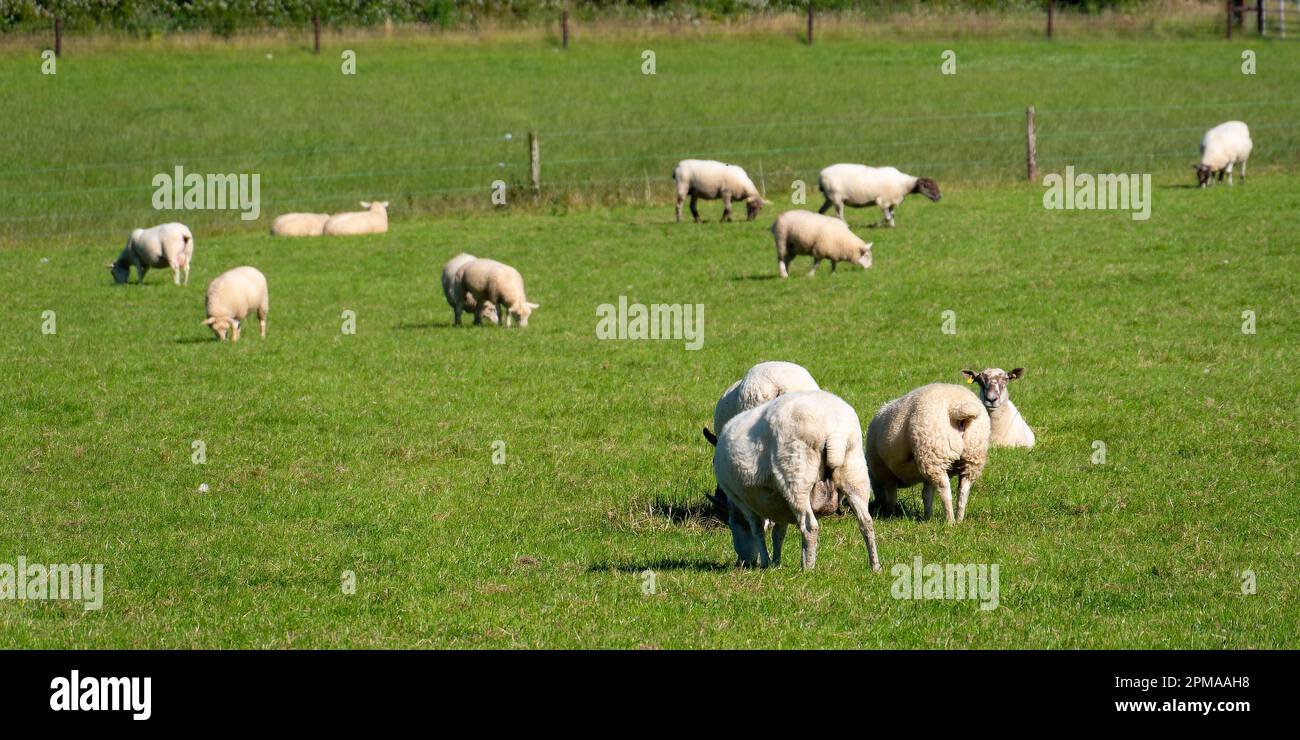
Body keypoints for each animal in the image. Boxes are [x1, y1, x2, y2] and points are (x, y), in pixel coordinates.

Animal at [712, 390, 881, 572]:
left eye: (731, 526)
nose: (742, 563)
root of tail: (834, 430)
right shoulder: (779, 504)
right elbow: (778, 533)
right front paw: (776, 563)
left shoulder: (744, 502)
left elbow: (758, 531)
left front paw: (765, 563)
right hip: (855, 473)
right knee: (866, 522)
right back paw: (875, 567)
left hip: (796, 478)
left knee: (809, 526)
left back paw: (807, 568)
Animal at [866, 383, 990, 524]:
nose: (878, 505)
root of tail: (957, 408)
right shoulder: (924, 476)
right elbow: (927, 495)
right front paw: (927, 518)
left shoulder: (886, 472)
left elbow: (892, 496)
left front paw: (890, 515)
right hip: (972, 456)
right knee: (963, 490)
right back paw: (959, 520)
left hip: (933, 453)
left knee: (945, 490)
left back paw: (950, 521)